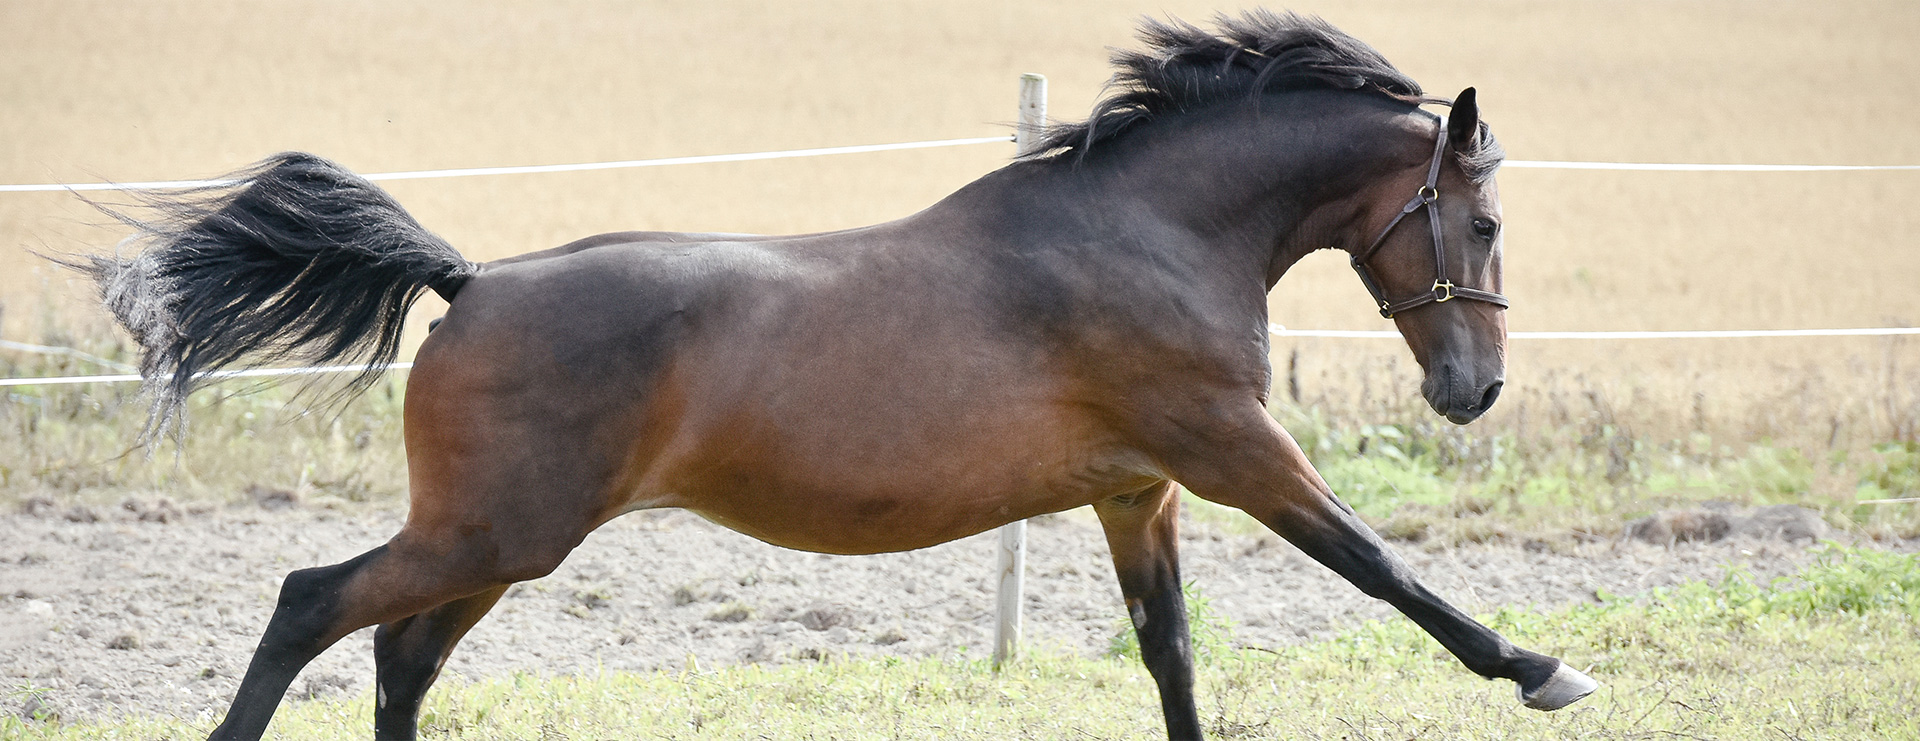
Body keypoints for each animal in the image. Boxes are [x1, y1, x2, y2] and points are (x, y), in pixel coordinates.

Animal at [71, 11, 1596, 740]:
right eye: (1486, 222)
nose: (1474, 393)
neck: (1143, 230)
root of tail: (471, 283)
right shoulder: (1231, 452)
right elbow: (1383, 571)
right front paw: (1542, 670)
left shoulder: (1139, 492)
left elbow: (1167, 653)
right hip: (495, 530)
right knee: (313, 606)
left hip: (500, 539)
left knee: (400, 653)